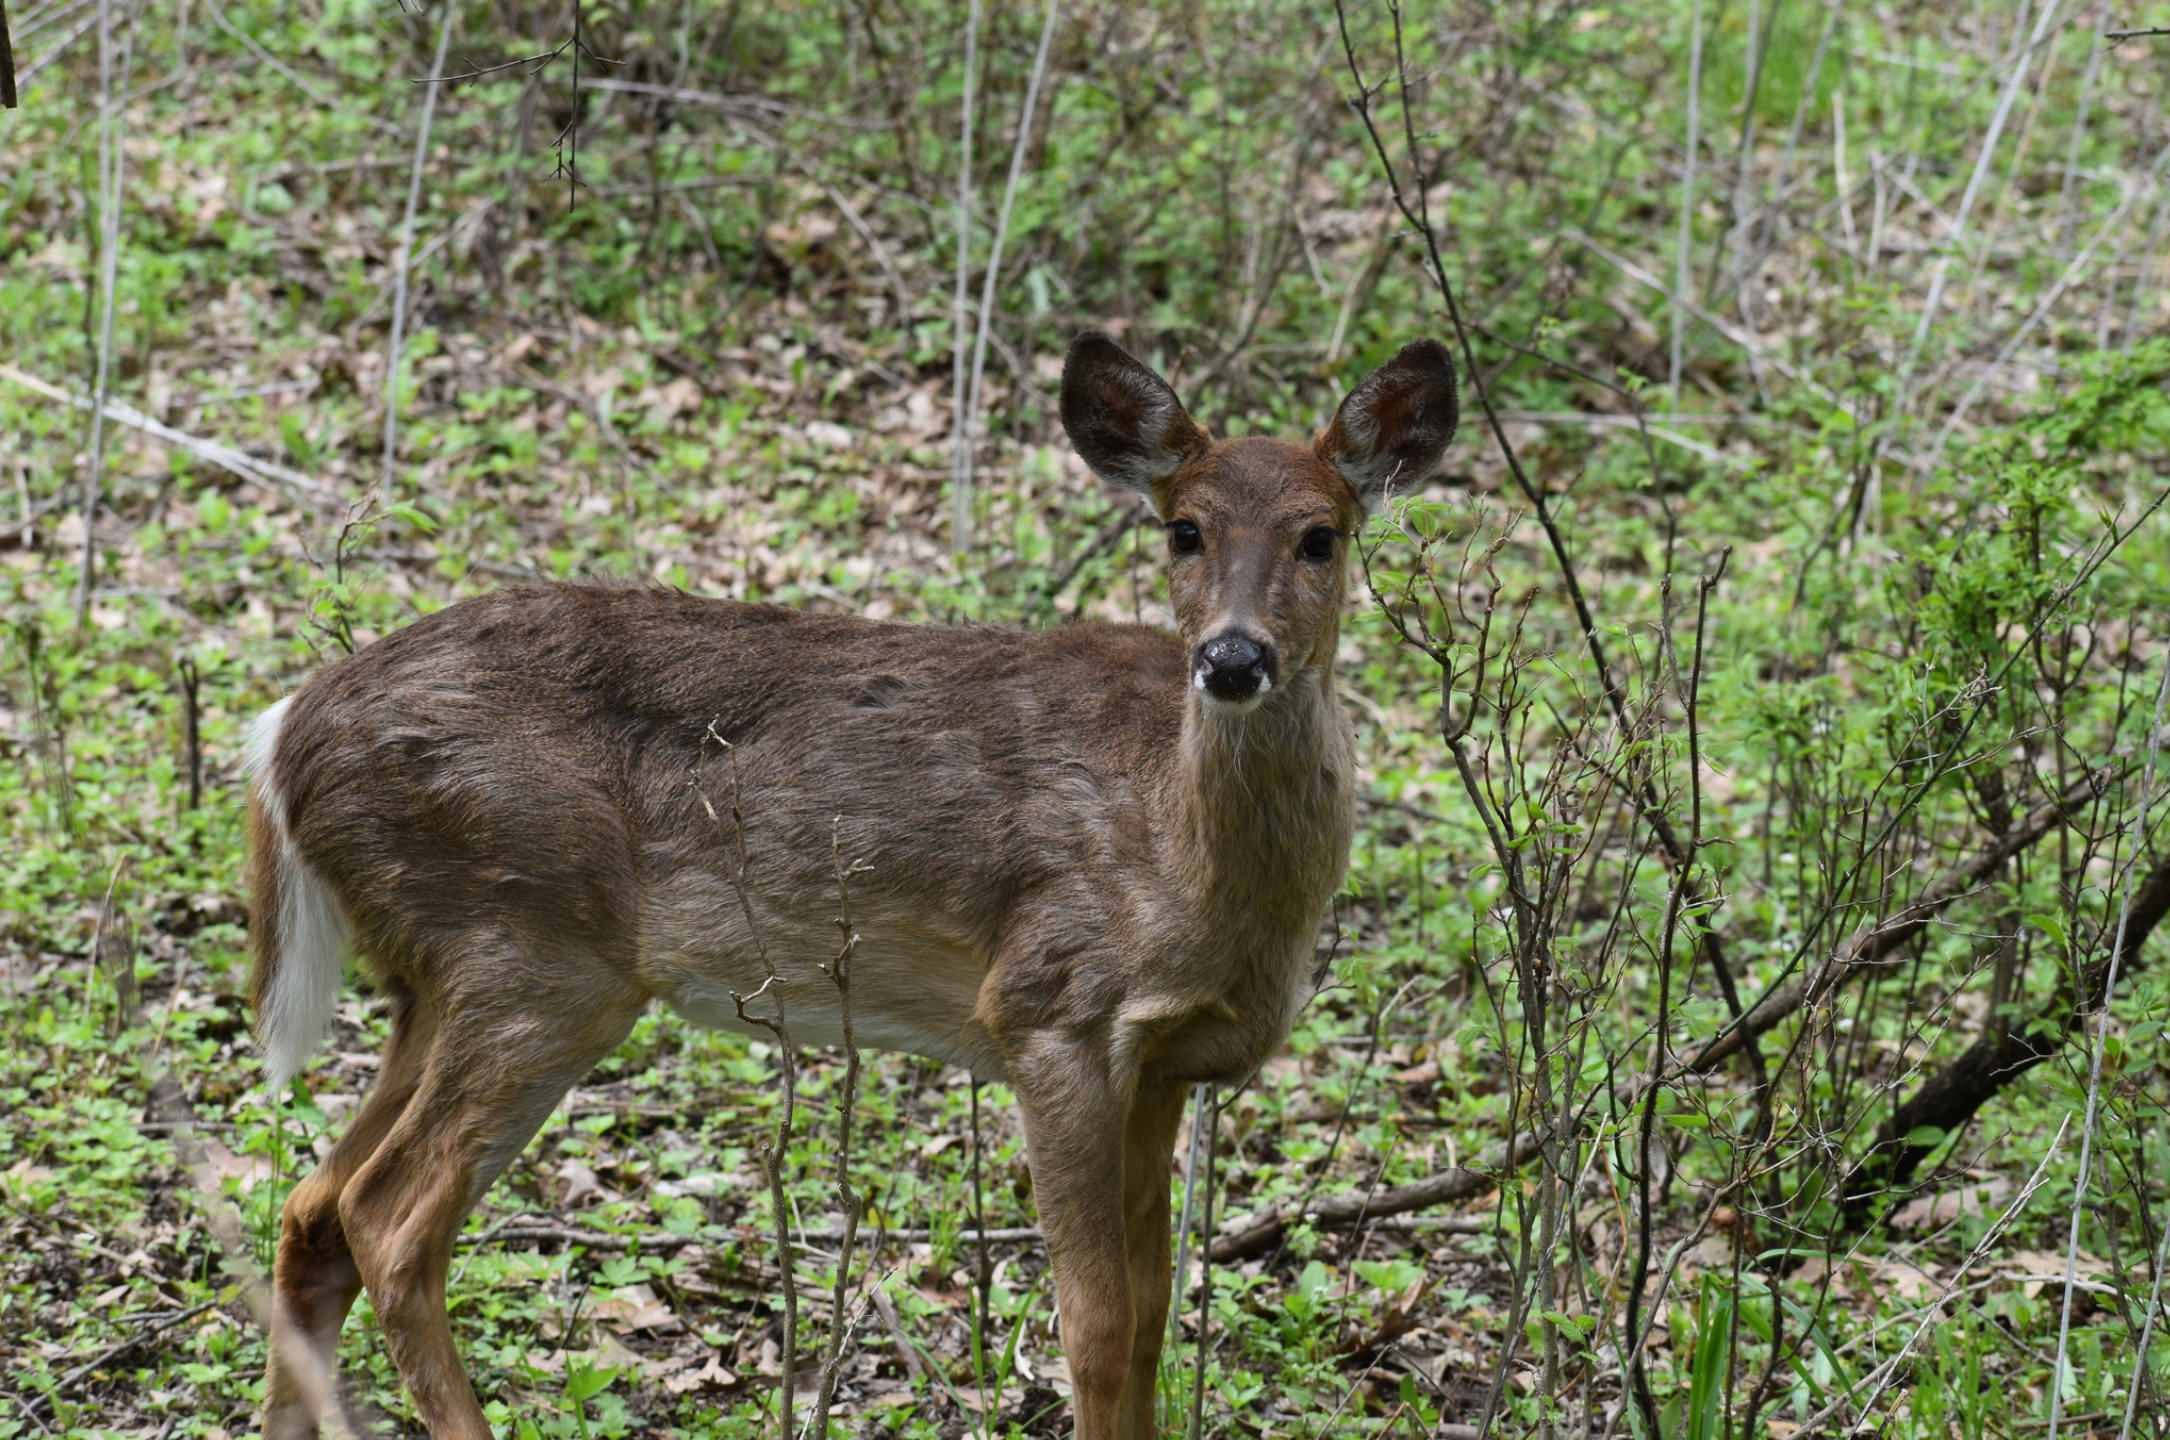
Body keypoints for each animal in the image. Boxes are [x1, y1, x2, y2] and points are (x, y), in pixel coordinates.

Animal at [243, 330, 1457, 1440]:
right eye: (1183, 529)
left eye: (1321, 535)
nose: (1233, 659)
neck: (1182, 861)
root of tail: (284, 735)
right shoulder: (1049, 1006)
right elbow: (1100, 1324)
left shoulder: (1163, 1065)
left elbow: (1157, 1313)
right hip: (530, 949)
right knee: (388, 1219)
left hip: (440, 972)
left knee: (312, 1208)